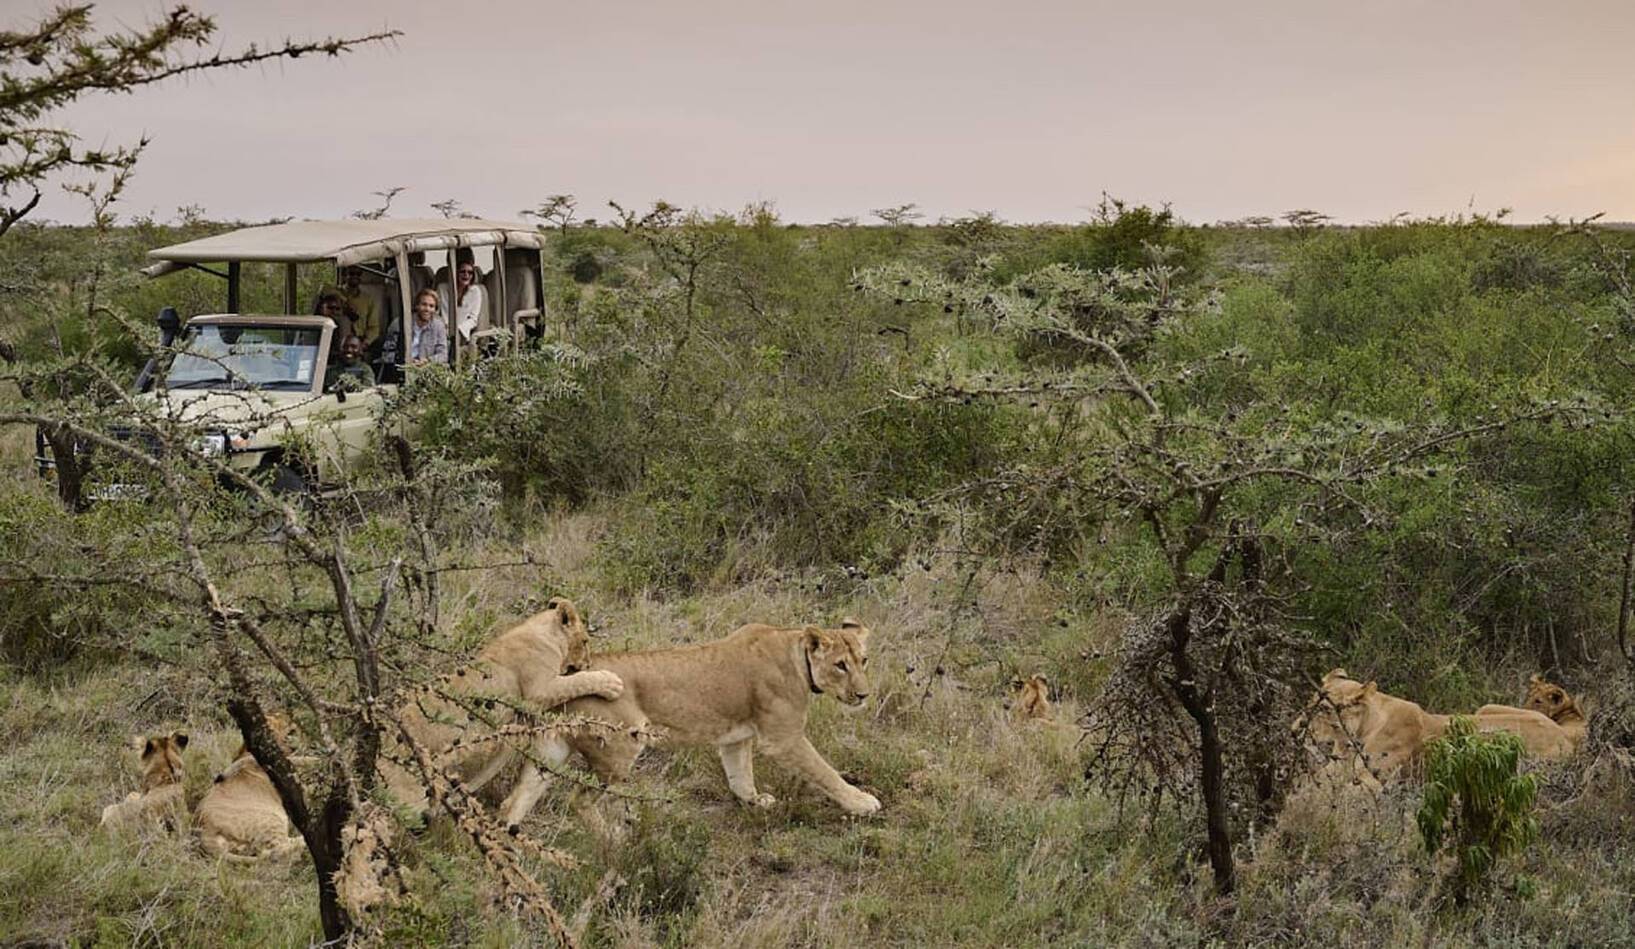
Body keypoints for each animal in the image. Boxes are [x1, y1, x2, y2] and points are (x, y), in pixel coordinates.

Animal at [497, 618, 882, 827]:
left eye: (864, 660)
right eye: (840, 665)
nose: (863, 695)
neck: (796, 654)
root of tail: (564, 676)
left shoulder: (735, 738)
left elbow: (741, 778)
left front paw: (756, 802)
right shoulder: (783, 737)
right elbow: (824, 771)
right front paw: (862, 802)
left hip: (551, 750)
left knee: (513, 802)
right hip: (619, 749)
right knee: (580, 801)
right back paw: (615, 843)